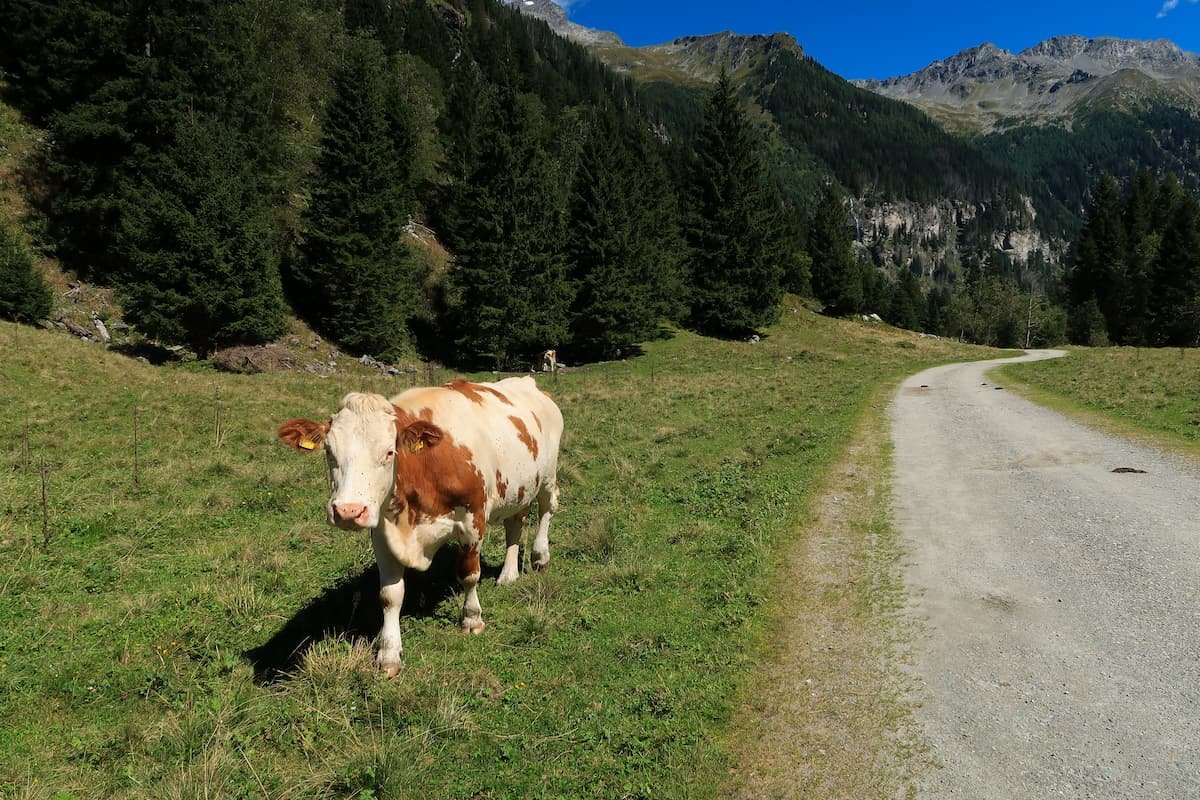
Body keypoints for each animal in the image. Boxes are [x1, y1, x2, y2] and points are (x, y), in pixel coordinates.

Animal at [277, 376, 563, 677]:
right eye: (330, 452)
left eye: (389, 452)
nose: (348, 511)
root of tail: (528, 382)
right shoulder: (383, 531)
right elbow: (390, 595)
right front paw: (389, 654)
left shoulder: (473, 519)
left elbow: (469, 574)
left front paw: (472, 618)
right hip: (520, 488)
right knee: (515, 524)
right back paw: (508, 574)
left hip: (547, 475)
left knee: (547, 509)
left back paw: (540, 556)